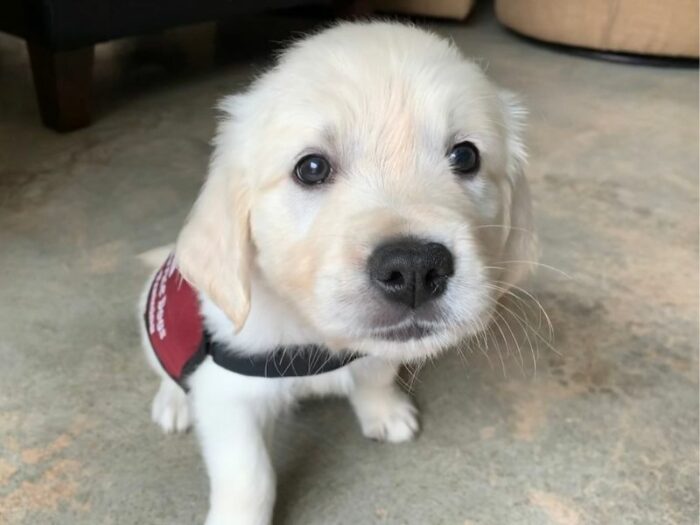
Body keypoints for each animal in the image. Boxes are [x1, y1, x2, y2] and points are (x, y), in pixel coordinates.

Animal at [141, 20, 536, 524]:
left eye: (465, 156)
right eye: (311, 168)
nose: (413, 268)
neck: (319, 339)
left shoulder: (379, 348)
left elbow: (376, 374)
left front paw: (385, 412)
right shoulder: (228, 396)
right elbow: (249, 476)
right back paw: (173, 402)